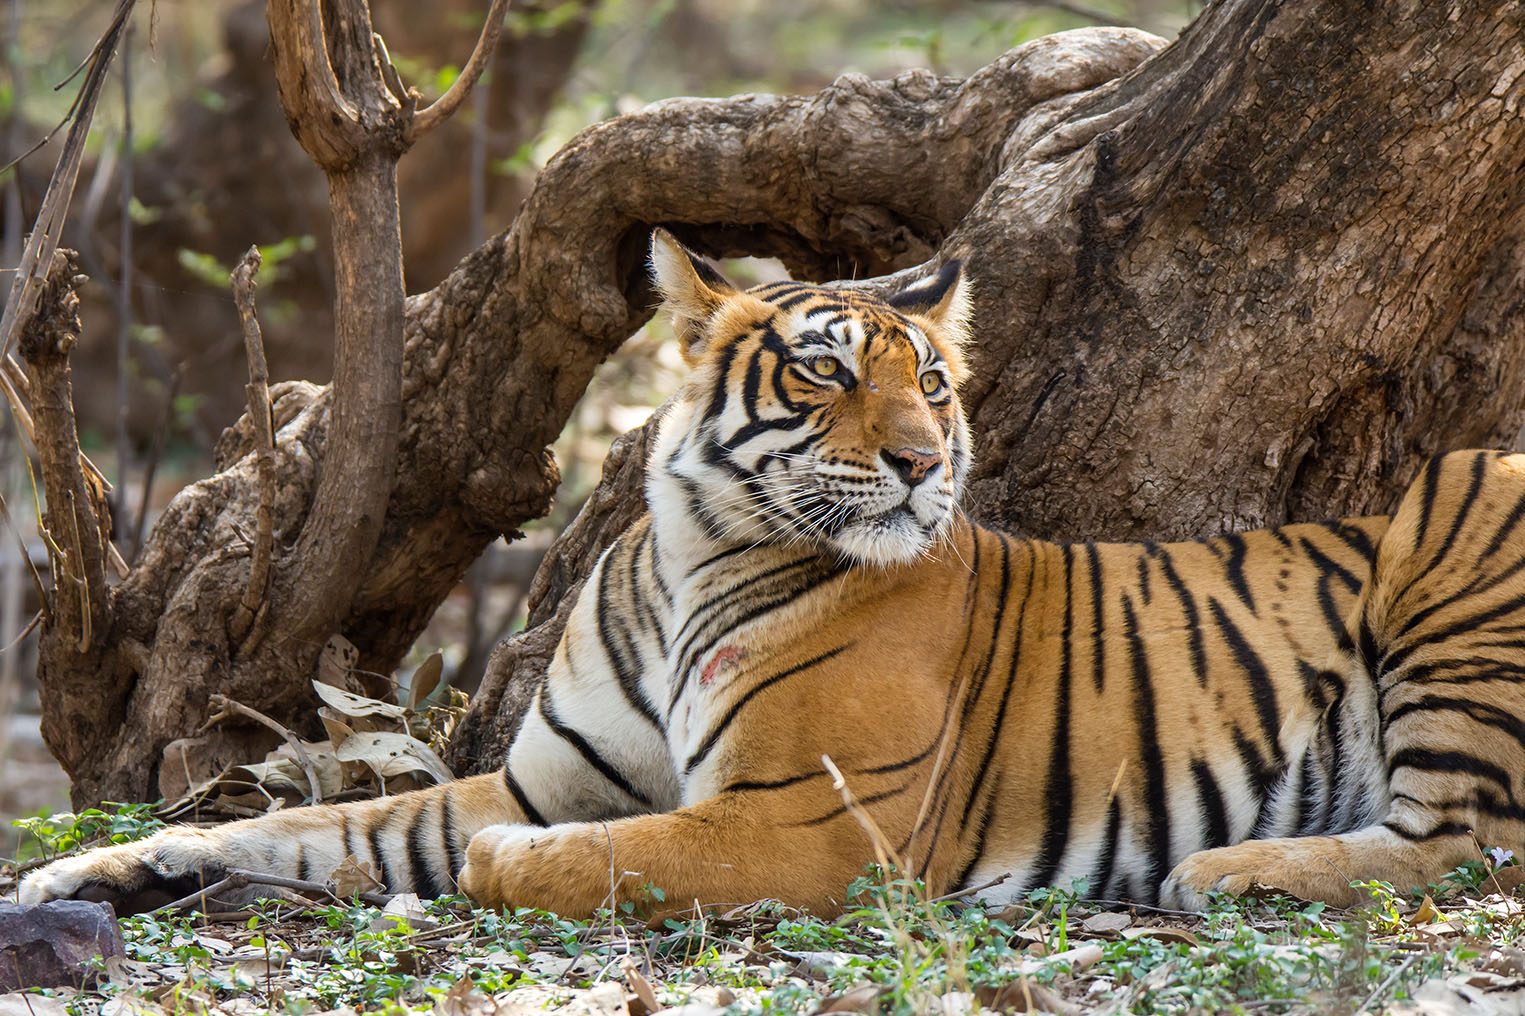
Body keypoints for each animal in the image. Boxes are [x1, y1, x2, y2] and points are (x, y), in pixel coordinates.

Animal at [22, 228, 1525, 918]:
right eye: (825, 373)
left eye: (931, 382)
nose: (923, 460)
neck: (700, 553)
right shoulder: (537, 776)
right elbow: (308, 824)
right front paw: (86, 873)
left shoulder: (801, 823)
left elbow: (587, 854)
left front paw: (508, 867)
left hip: (1464, 500)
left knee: (1461, 839)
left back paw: (1225, 868)